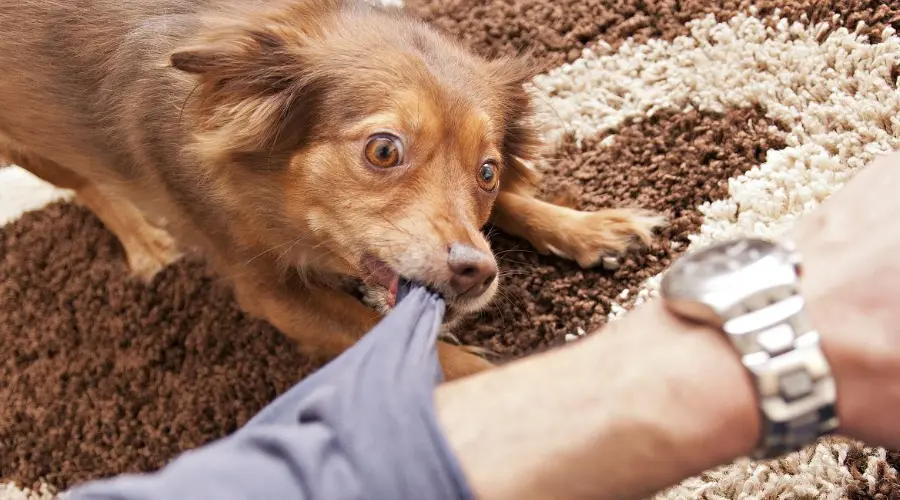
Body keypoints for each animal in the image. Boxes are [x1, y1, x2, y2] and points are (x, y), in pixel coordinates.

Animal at [0, 0, 660, 380]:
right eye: (384, 150)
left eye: (489, 172)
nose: (478, 272)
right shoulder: (269, 292)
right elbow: (400, 343)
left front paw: (588, 227)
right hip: (27, 143)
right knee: (86, 183)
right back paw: (143, 240)